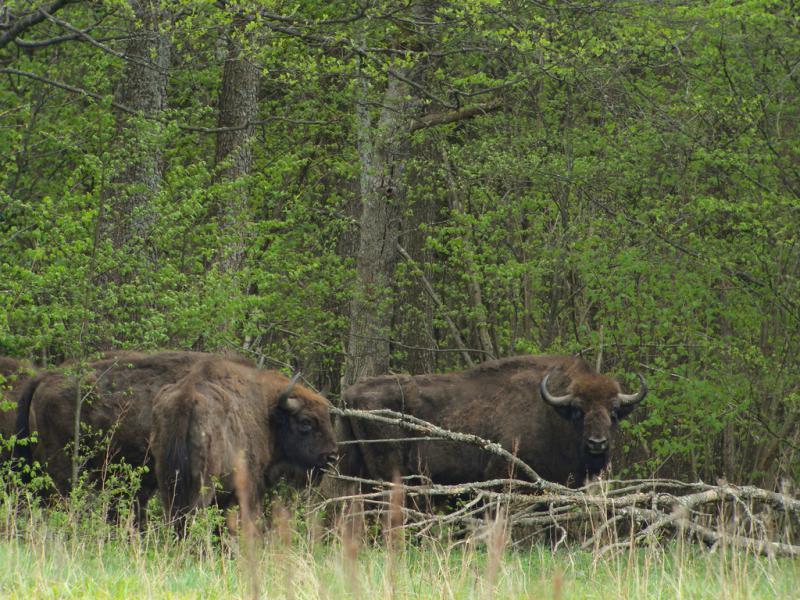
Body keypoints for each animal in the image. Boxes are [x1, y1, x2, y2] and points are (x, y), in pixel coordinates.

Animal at [152, 354, 336, 528]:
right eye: (306, 422)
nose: (332, 456)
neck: (267, 413)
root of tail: (186, 398)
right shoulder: (249, 486)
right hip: (204, 484)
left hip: (168, 483)